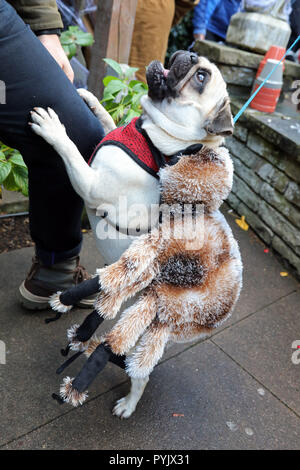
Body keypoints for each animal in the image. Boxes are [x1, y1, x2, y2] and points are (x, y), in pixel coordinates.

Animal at [28, 51, 234, 418]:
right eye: (198, 64)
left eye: (202, 78)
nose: (188, 52)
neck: (155, 138)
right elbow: (109, 119)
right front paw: (92, 99)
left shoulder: (90, 183)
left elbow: (70, 150)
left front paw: (53, 128)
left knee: (138, 371)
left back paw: (128, 404)